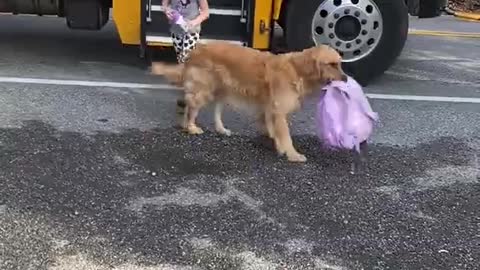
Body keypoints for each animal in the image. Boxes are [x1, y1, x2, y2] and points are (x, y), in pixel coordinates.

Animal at [150, 41, 344, 161]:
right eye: (332, 64)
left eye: (340, 63)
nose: (346, 78)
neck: (298, 70)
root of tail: (195, 50)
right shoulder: (278, 109)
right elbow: (285, 135)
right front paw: (292, 154)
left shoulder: (269, 107)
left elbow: (269, 125)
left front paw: (273, 139)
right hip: (204, 89)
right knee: (191, 105)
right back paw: (190, 126)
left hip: (223, 89)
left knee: (213, 108)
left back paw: (220, 129)